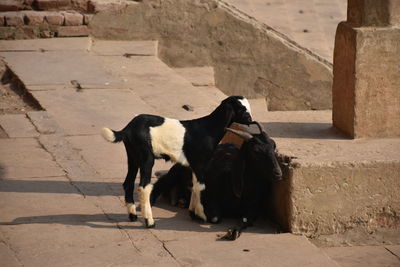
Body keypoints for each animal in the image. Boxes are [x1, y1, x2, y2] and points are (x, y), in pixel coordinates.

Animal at [101, 95, 252, 227]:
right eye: (242, 109)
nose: (251, 120)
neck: (208, 129)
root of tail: (127, 129)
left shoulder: (193, 165)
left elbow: (194, 186)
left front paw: (192, 212)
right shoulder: (200, 163)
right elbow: (200, 186)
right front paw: (201, 215)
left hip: (133, 156)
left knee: (128, 183)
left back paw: (132, 216)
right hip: (146, 157)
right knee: (143, 187)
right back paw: (150, 222)